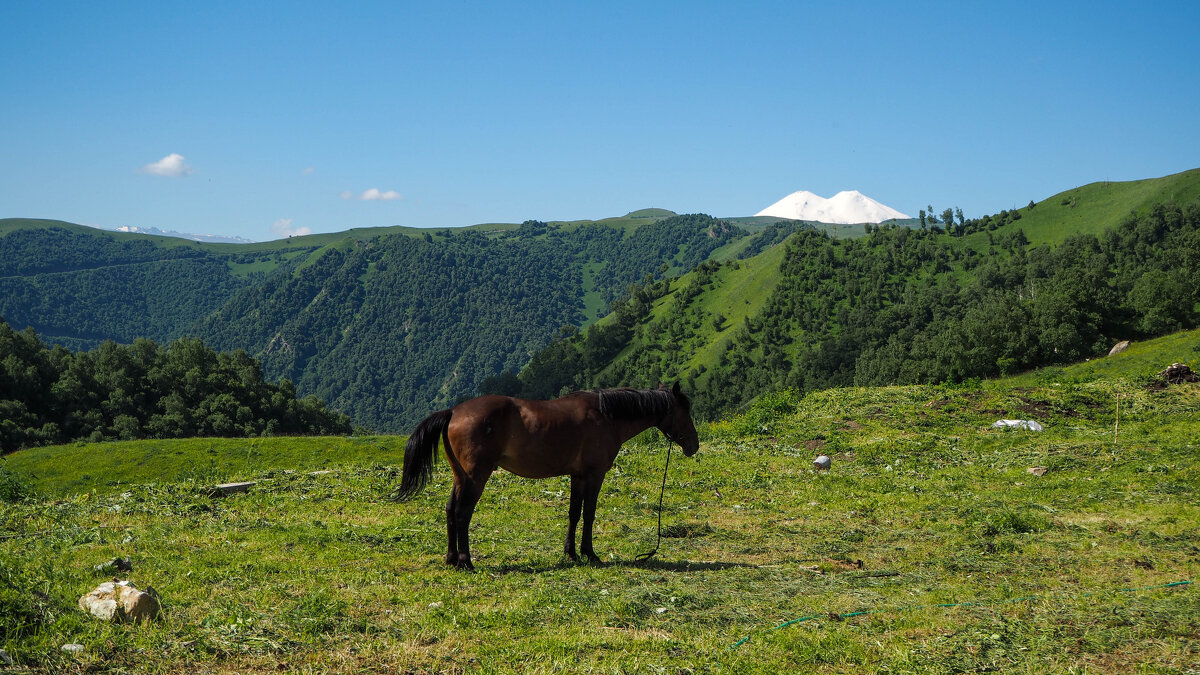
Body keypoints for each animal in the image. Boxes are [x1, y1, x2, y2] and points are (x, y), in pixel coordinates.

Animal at [398, 381, 700, 564]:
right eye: (684, 410)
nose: (694, 445)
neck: (606, 415)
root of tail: (453, 412)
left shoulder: (578, 476)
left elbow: (574, 513)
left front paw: (572, 553)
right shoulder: (594, 474)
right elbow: (589, 514)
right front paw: (590, 554)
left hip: (460, 478)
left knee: (450, 510)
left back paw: (452, 558)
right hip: (475, 478)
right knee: (462, 514)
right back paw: (466, 561)